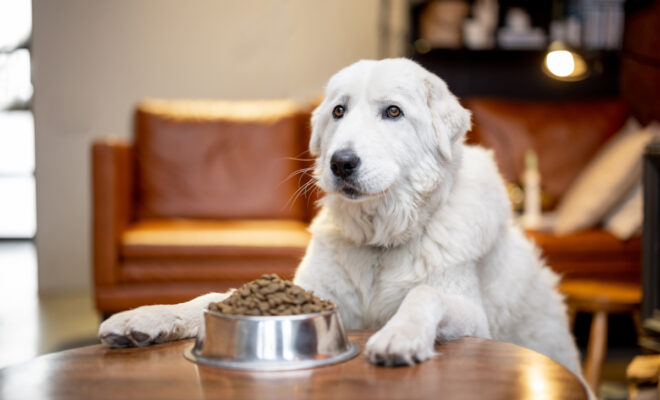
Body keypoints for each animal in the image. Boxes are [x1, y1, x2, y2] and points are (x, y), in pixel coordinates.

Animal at [96, 58, 576, 376]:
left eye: (393, 112)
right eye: (338, 111)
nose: (341, 163)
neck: (381, 242)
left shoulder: (473, 317)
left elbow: (424, 294)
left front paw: (399, 335)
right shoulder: (314, 294)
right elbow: (211, 297)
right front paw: (147, 318)